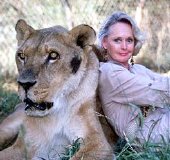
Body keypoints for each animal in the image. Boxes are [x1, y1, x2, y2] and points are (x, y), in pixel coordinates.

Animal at [0, 19, 115, 159]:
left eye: (53, 55)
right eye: (21, 56)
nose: (24, 84)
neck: (54, 113)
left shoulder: (98, 143)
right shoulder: (24, 146)